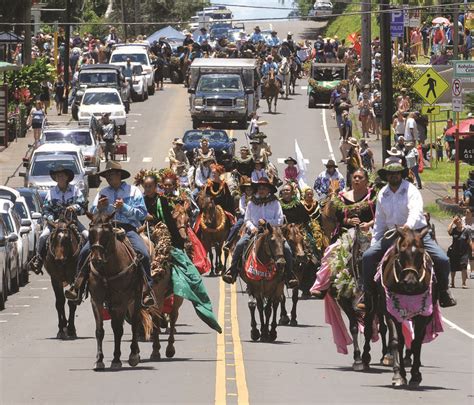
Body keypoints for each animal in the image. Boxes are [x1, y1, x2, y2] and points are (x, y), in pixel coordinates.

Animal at [85, 210, 152, 370]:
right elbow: (100, 330)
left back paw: (134, 354)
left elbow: (118, 330)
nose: (96, 259)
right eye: (91, 232)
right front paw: (99, 360)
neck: (107, 270)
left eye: (107, 233)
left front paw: (116, 359)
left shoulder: (121, 301)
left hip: (135, 299)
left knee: (134, 324)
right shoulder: (96, 300)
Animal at [362, 226, 434, 386]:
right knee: (370, 328)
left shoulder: (422, 315)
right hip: (372, 303)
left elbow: (416, 343)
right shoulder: (391, 312)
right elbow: (396, 341)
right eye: (402, 252)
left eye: (420, 253)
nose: (410, 282)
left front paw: (415, 375)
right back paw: (363, 359)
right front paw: (398, 375)